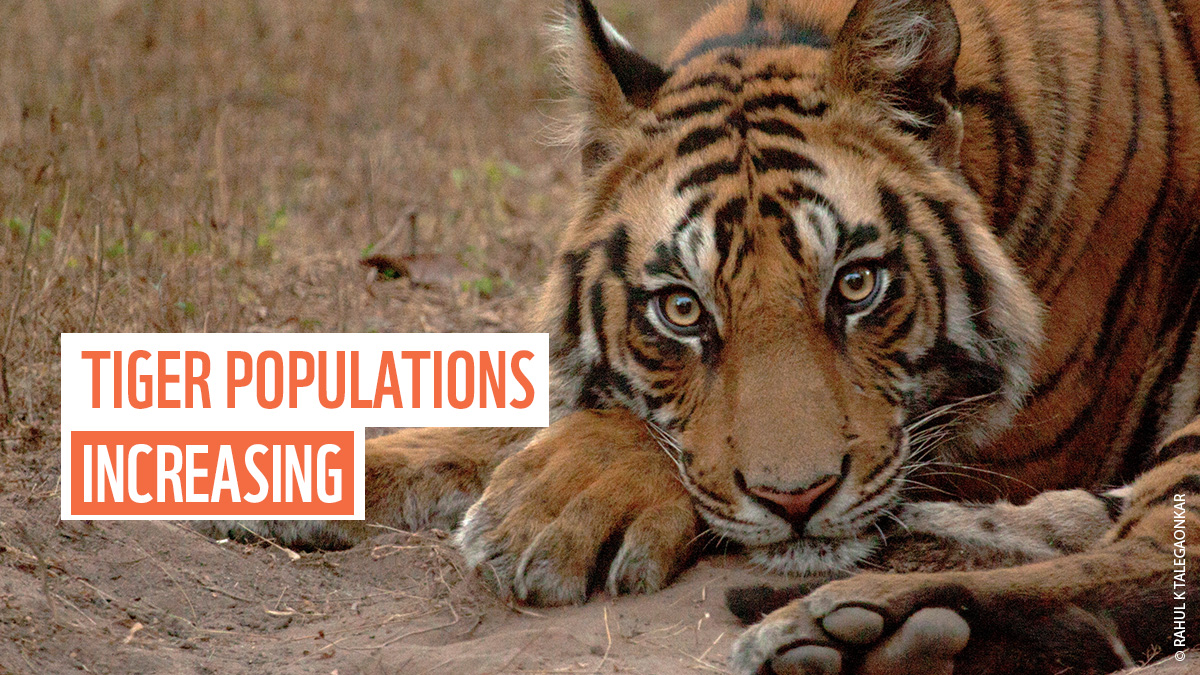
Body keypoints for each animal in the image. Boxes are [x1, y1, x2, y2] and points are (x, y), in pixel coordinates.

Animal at [205, 0, 1200, 672]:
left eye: (857, 284)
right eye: (681, 309)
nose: (799, 500)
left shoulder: (1027, 434)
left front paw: (552, 508)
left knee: (1150, 561)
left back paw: (862, 631)